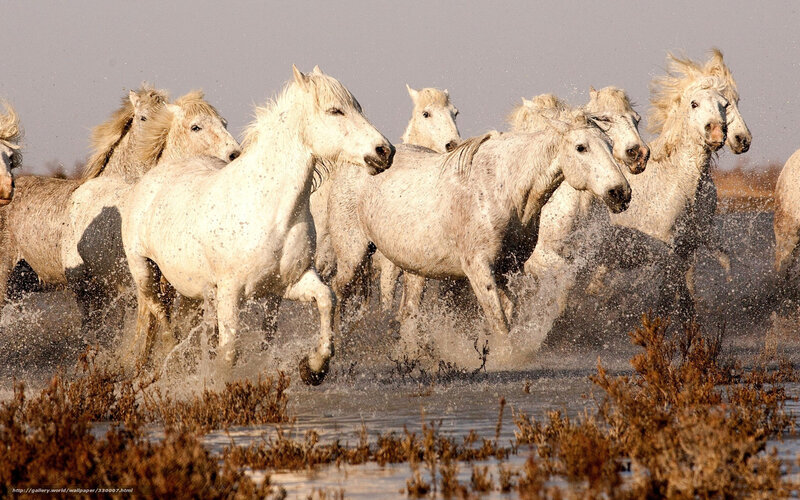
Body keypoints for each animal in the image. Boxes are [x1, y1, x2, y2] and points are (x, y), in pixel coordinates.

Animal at [121, 66, 394, 385]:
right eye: (335, 110)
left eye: (357, 108)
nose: (385, 151)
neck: (269, 211)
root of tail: (153, 176)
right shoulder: (231, 292)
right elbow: (229, 351)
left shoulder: (288, 284)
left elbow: (326, 300)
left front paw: (313, 368)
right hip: (145, 271)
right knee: (159, 312)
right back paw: (170, 357)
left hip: (196, 291)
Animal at [328, 110, 631, 338]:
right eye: (581, 147)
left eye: (610, 145)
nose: (620, 193)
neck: (501, 189)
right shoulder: (479, 268)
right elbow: (499, 323)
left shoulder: (509, 268)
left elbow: (509, 312)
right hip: (354, 255)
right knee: (339, 291)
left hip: (414, 268)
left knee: (407, 311)